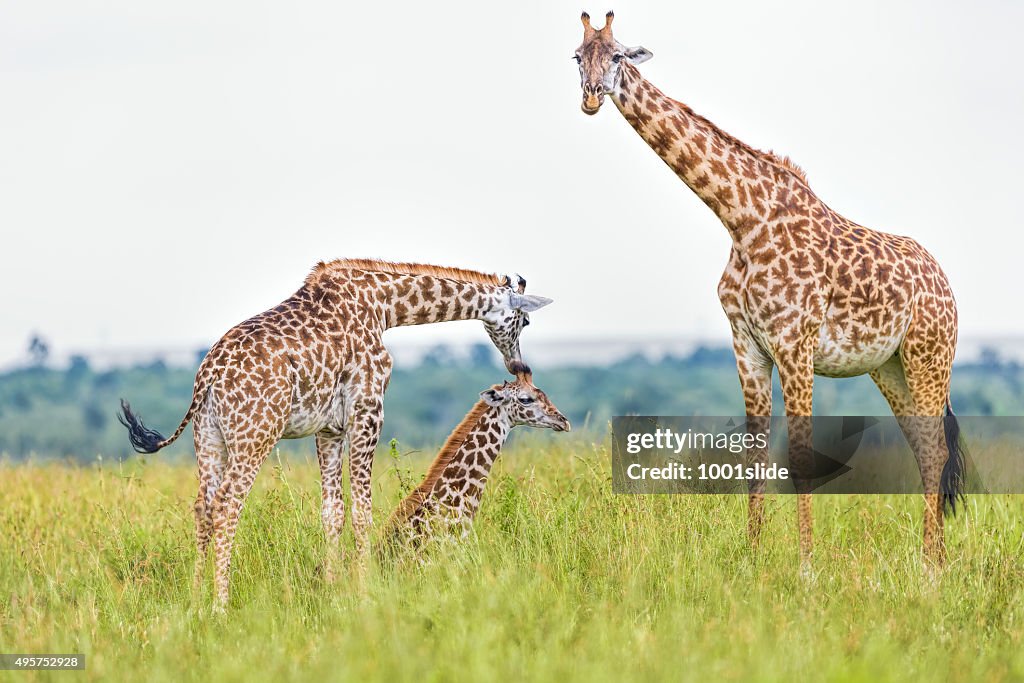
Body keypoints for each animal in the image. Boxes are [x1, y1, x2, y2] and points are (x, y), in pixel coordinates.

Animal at [577, 12, 966, 573]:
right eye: (577, 56)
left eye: (618, 56)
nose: (590, 97)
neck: (742, 220)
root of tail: (944, 282)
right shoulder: (747, 346)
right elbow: (754, 457)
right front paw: (752, 558)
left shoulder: (795, 344)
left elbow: (800, 458)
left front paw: (806, 568)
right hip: (888, 367)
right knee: (924, 448)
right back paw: (931, 556)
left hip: (929, 354)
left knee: (937, 448)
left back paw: (932, 566)